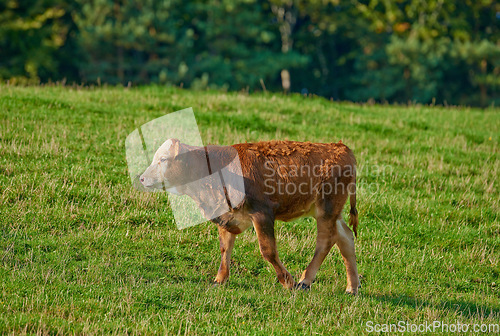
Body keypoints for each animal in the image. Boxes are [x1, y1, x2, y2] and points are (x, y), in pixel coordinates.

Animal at [139, 139, 362, 294]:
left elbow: (268, 251)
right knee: (345, 237)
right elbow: (225, 248)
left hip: (327, 209)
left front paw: (287, 281)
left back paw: (304, 281)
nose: (141, 178)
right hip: (330, 211)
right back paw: (352, 287)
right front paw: (220, 279)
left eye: (163, 159)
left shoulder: (262, 213)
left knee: (326, 241)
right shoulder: (226, 216)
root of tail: (341, 147)